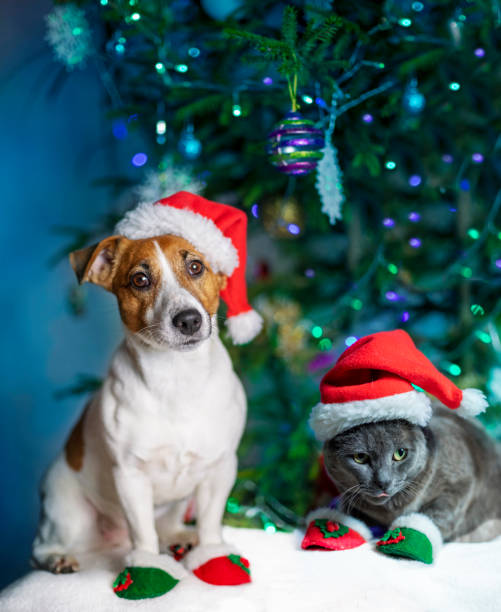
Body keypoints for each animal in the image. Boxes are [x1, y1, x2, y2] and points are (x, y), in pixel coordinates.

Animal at [32, 192, 262, 584]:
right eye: (139, 279)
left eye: (196, 267)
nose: (188, 320)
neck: (177, 379)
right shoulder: (130, 476)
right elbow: (143, 533)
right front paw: (149, 565)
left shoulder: (219, 468)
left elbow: (211, 522)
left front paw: (211, 554)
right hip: (67, 512)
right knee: (41, 548)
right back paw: (58, 558)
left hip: (178, 503)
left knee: (168, 526)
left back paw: (181, 538)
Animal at [322, 406, 500, 544]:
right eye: (360, 457)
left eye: (400, 453)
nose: (383, 482)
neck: (390, 512)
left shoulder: (460, 481)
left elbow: (438, 514)